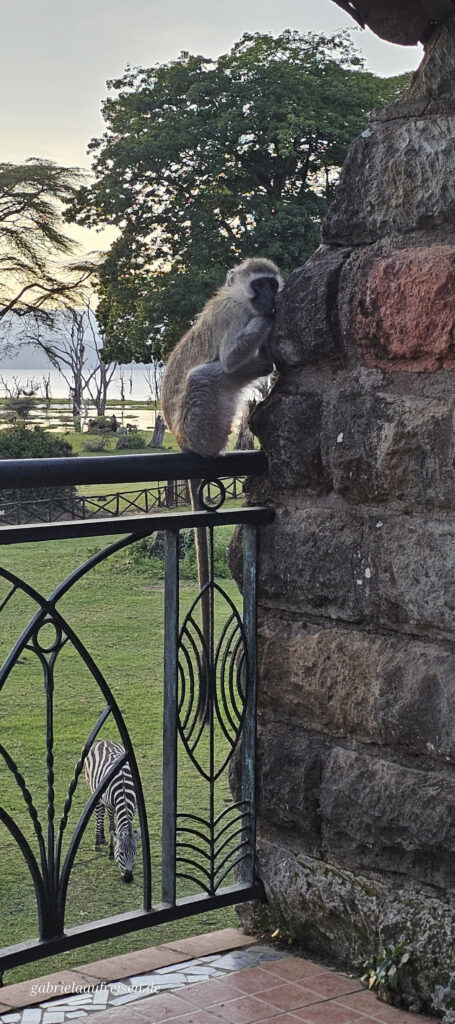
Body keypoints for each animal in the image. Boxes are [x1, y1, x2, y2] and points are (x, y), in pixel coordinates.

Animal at [161, 258, 283, 722]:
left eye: (272, 283)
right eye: (259, 286)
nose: (270, 298)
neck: (237, 299)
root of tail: (182, 442)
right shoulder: (235, 316)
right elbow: (229, 355)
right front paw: (267, 322)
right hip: (198, 421)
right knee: (212, 373)